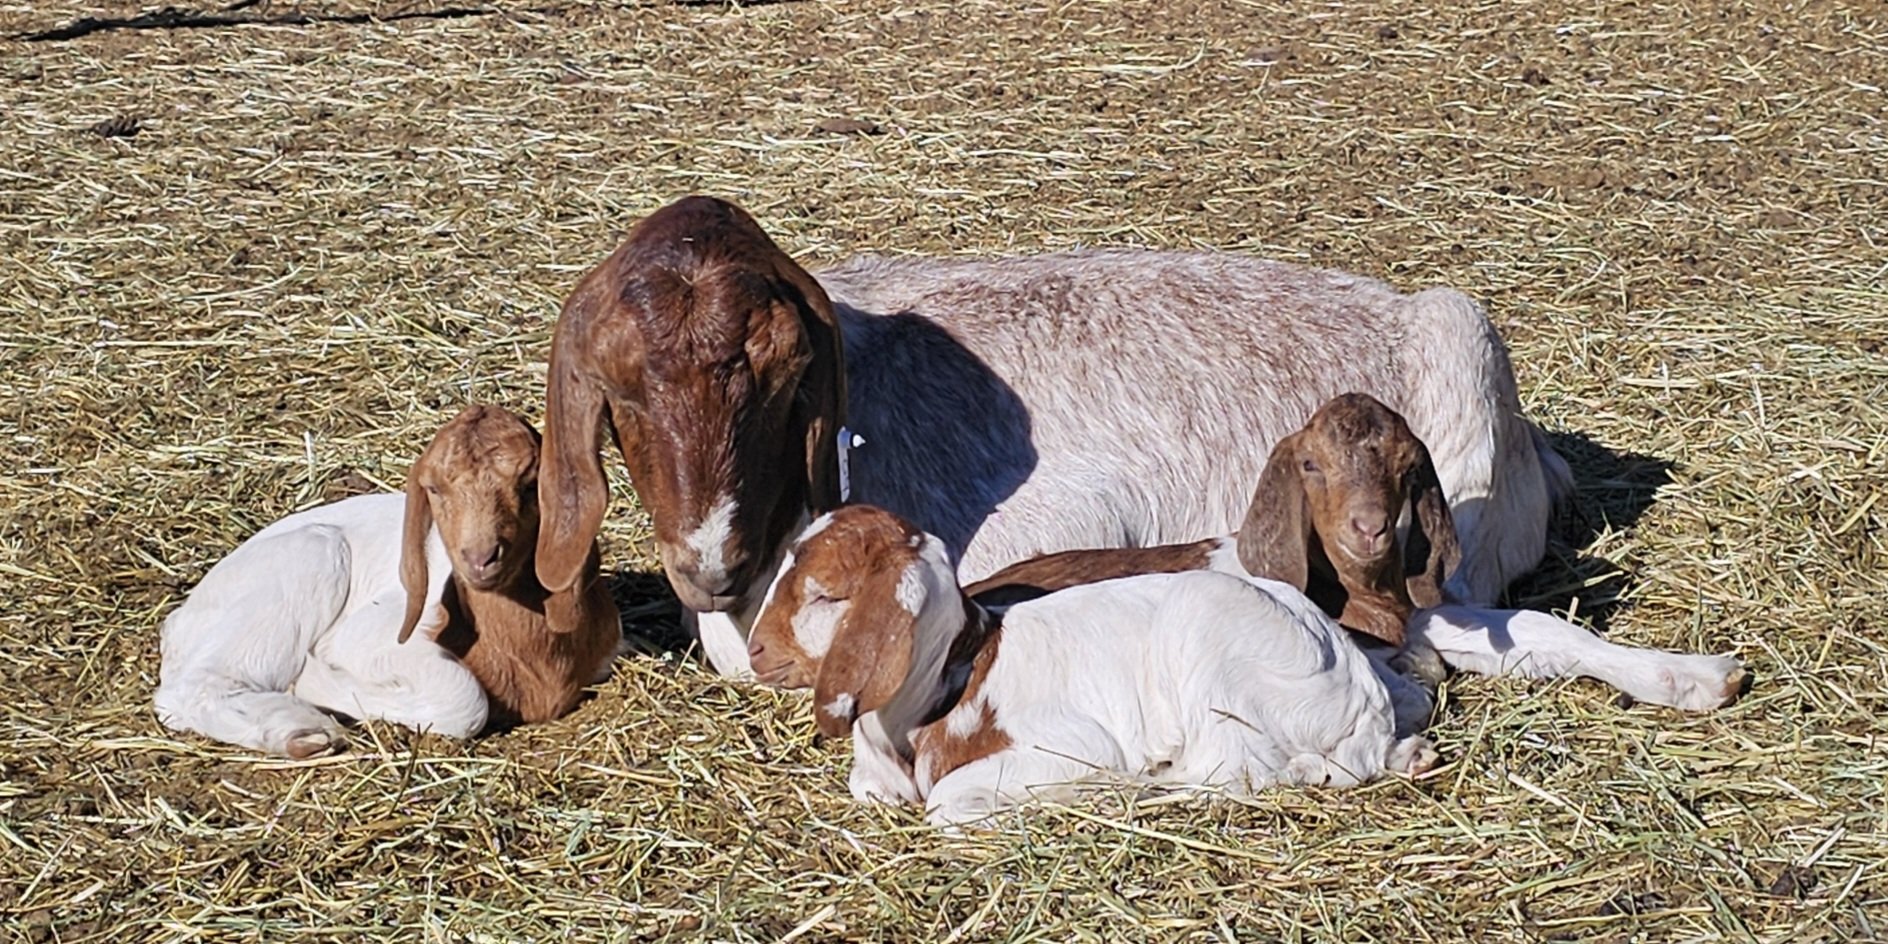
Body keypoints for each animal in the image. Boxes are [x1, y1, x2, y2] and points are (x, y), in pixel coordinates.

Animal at [154, 406, 620, 757]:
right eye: (435, 489)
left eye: (528, 485)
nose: (480, 558)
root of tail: (179, 621)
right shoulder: (369, 638)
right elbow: (464, 700)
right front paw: (314, 682)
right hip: (308, 559)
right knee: (195, 687)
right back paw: (303, 733)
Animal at [747, 505, 1439, 827]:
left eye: (826, 595)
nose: (755, 650)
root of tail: (1357, 691)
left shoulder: (1070, 745)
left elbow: (945, 803)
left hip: (1204, 634)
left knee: (1236, 770)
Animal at [959, 393, 1746, 712]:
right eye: (1310, 465)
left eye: (1407, 465)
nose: (1367, 529)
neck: (1361, 597)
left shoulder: (1430, 616)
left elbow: (1541, 630)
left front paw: (1696, 677)